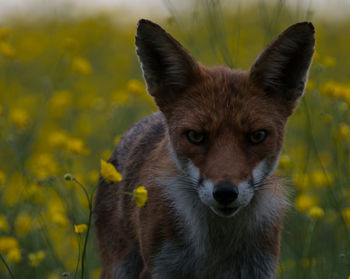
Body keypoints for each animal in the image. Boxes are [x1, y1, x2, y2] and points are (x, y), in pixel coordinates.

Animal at [94, 18, 316, 278]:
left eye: (257, 136)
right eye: (195, 136)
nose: (226, 193)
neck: (215, 250)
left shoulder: (259, 267)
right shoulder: (160, 267)